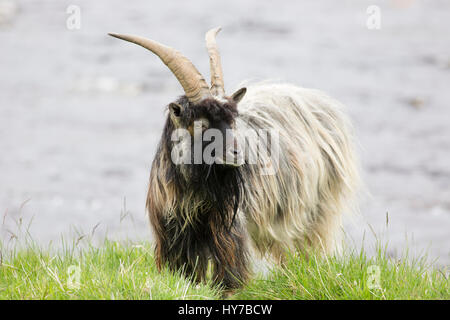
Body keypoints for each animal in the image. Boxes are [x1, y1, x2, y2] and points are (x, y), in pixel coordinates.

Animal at [109, 27, 358, 292]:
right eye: (201, 124)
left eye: (232, 121)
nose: (239, 154)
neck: (195, 191)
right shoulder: (172, 232)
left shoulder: (227, 229)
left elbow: (229, 271)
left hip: (318, 213)